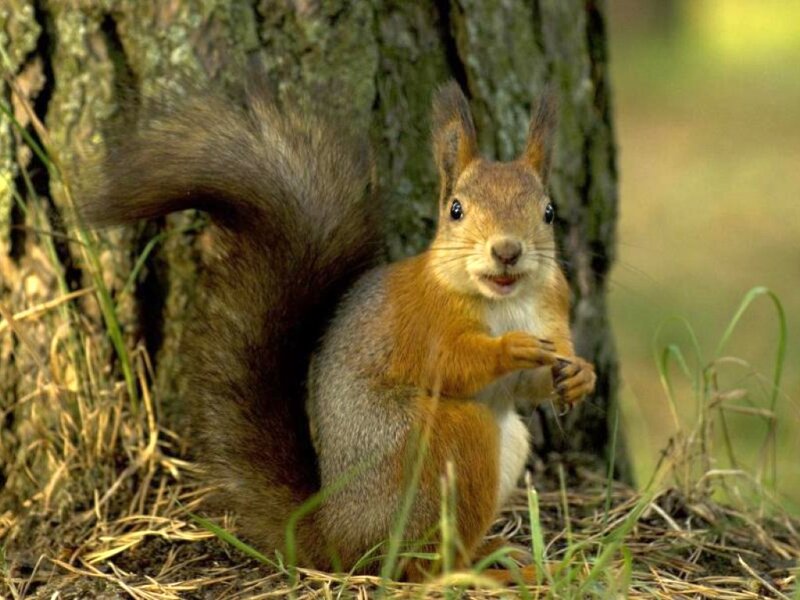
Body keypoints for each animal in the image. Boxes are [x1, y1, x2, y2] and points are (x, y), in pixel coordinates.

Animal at [83, 79, 596, 580]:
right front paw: (509, 348)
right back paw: (492, 571)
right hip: (446, 440)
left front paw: (579, 375)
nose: (507, 251)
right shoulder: (420, 325)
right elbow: (453, 364)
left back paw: (498, 552)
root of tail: (337, 539)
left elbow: (533, 383)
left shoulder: (552, 310)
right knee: (418, 566)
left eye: (548, 212)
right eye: (456, 209)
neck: (505, 301)